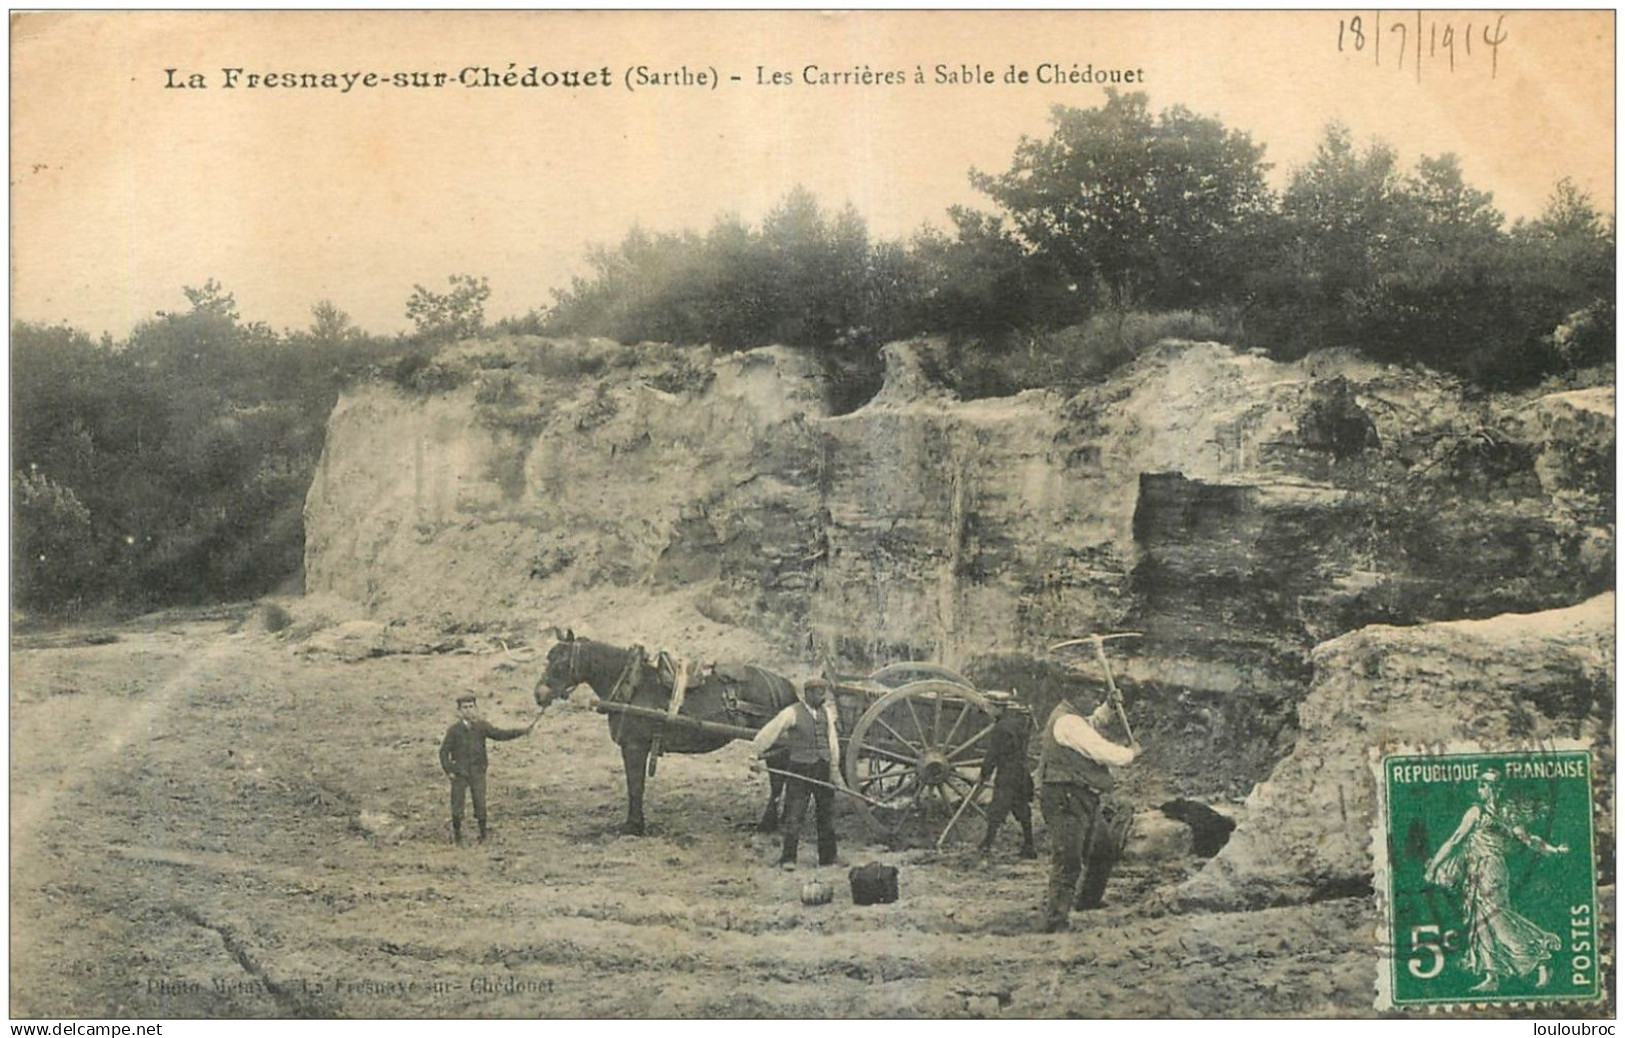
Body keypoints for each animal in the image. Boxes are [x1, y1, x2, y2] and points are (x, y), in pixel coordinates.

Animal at [536, 623, 802, 838]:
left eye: (560, 662)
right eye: (548, 657)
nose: (538, 694)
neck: (631, 686)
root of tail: (785, 686)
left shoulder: (634, 747)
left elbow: (635, 786)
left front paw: (633, 826)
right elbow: (635, 785)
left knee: (778, 780)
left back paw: (767, 824)